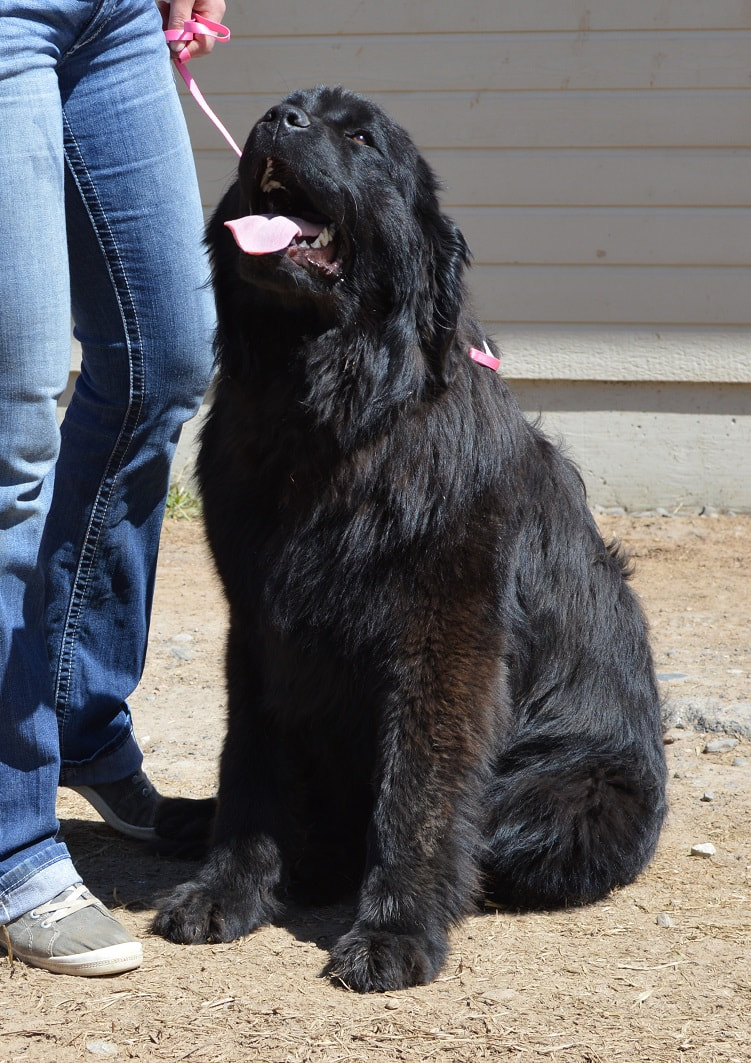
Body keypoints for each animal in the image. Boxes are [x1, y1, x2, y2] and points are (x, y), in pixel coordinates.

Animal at [151, 87, 659, 990]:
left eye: (360, 136)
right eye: (288, 110)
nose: (276, 120)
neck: (327, 416)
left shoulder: (444, 634)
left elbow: (417, 793)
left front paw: (394, 929)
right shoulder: (259, 626)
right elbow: (248, 764)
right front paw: (226, 888)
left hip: (571, 797)